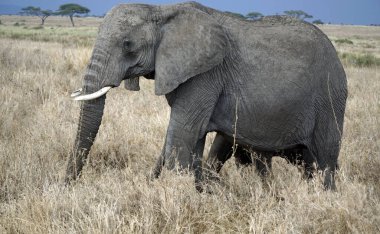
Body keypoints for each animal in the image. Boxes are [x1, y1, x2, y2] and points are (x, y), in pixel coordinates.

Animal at [65, 1, 348, 191]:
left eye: (127, 45)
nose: (69, 185)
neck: (161, 10)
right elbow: (193, 137)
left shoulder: (206, 75)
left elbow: (182, 133)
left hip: (330, 96)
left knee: (325, 158)